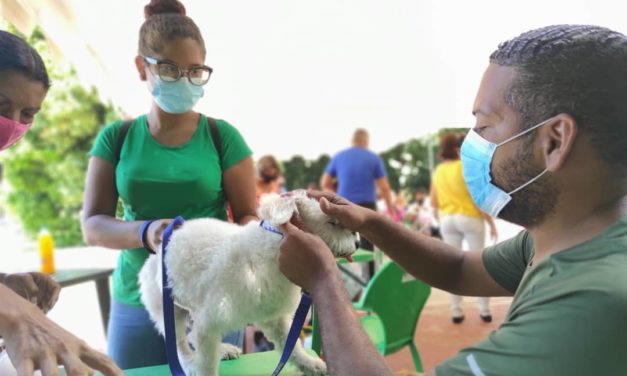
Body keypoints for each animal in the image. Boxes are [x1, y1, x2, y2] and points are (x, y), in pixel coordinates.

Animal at [139, 191, 356, 376]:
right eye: (331, 222)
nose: (357, 242)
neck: (273, 250)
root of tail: (158, 250)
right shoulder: (209, 322)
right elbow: (206, 364)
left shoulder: (274, 318)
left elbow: (290, 345)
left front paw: (309, 364)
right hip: (169, 311)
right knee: (181, 343)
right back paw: (191, 362)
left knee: (191, 335)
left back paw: (223, 350)